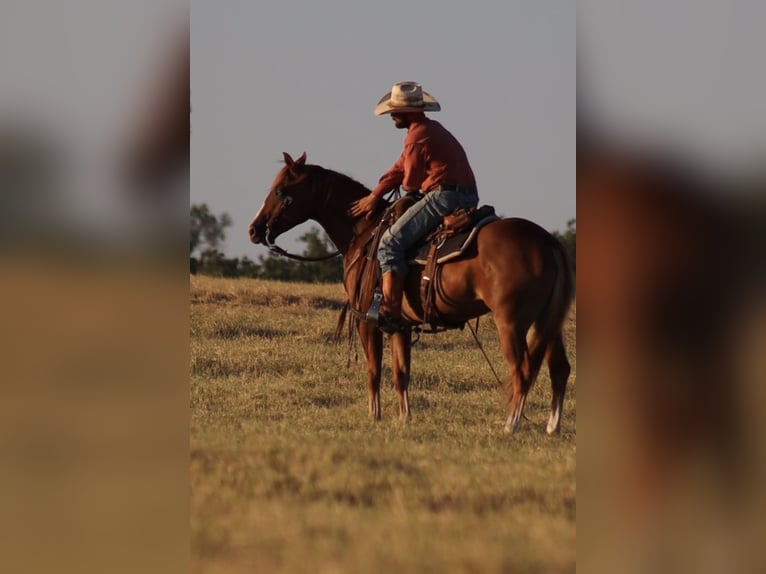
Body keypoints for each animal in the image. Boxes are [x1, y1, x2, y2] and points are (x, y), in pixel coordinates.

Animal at [249, 152, 575, 433]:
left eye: (280, 190)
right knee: (559, 368)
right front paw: (404, 418)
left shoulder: (367, 320)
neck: (364, 231)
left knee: (522, 370)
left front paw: (374, 416)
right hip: (547, 323)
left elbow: (374, 371)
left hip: (511, 323)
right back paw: (552, 427)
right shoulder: (400, 326)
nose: (254, 230)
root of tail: (548, 242)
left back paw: (511, 425)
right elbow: (400, 373)